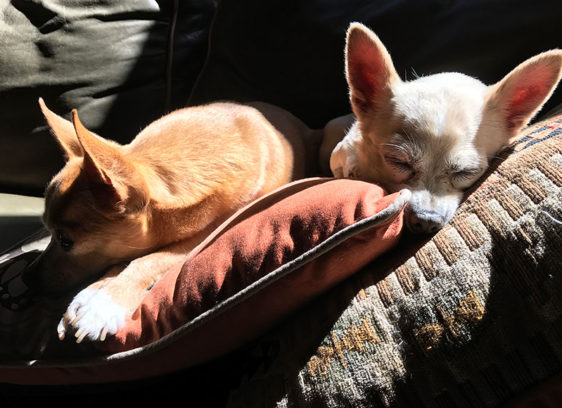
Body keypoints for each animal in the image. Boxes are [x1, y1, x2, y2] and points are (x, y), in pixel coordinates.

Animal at [24, 98, 320, 342]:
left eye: (65, 241)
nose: (26, 278)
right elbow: (121, 261)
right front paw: (87, 297)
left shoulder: (211, 231)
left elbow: (146, 260)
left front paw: (103, 306)